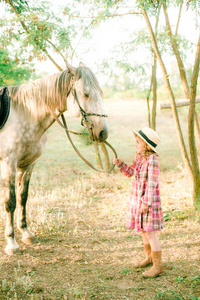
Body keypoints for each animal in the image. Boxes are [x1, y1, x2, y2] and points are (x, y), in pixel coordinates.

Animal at [0, 62, 108, 254]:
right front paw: (11, 242)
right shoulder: (8, 164)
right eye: (86, 94)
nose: (103, 132)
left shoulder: (28, 164)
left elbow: (22, 197)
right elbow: (10, 201)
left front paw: (26, 233)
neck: (25, 112)